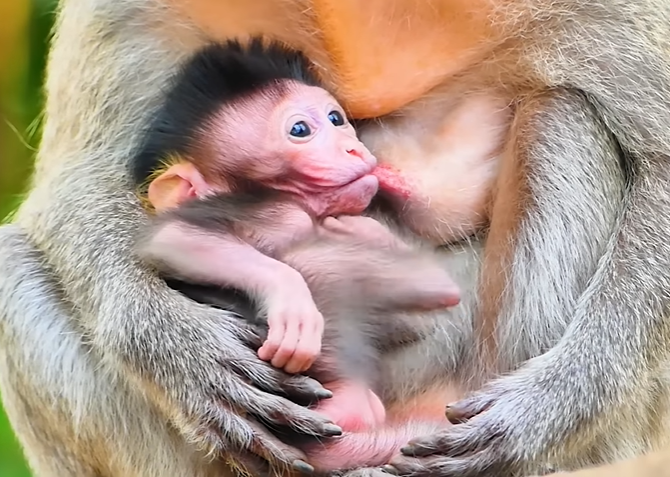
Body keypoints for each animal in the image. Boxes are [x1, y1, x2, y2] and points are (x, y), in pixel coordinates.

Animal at [0, 0, 668, 477]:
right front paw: (189, 355)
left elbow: (659, 163)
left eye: (334, 121)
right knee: (12, 262)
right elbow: (80, 178)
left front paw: (547, 408)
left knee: (564, 114)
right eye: (300, 130)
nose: (348, 150)